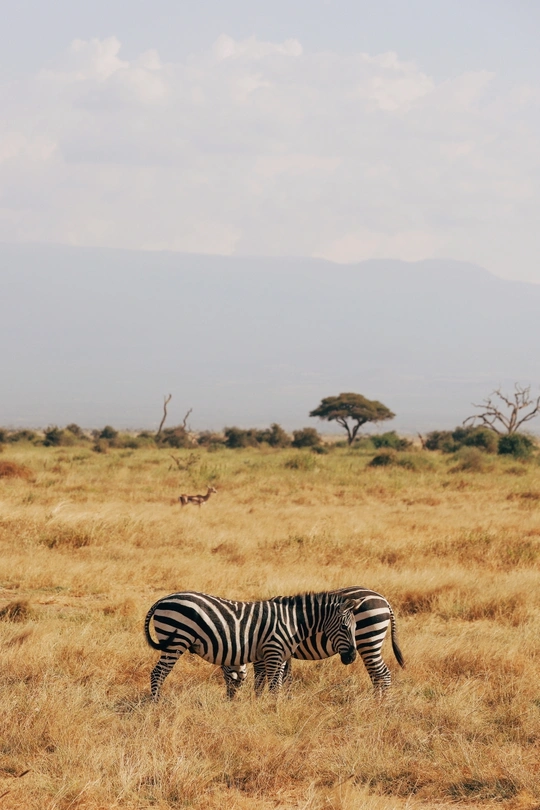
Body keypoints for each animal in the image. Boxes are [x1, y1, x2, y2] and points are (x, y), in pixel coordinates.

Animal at [144, 590, 361, 700]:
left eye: (356, 627)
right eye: (344, 627)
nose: (351, 657)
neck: (292, 621)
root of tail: (163, 599)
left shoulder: (278, 656)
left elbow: (270, 684)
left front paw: (264, 706)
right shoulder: (273, 651)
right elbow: (273, 687)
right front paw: (273, 710)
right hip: (175, 642)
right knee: (158, 673)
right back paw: (157, 704)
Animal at [221, 587, 405, 697]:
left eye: (225, 673)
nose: (230, 699)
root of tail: (383, 600)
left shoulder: (266, 651)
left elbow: (260, 679)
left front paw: (258, 700)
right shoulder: (284, 651)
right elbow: (286, 678)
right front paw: (287, 699)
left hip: (368, 640)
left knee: (383, 674)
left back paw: (380, 706)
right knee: (376, 675)